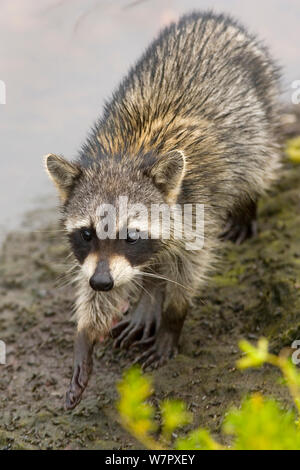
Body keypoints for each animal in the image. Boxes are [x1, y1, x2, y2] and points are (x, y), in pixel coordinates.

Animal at [45, 10, 282, 408]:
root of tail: (210, 17)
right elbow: (103, 288)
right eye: (87, 233)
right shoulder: (100, 259)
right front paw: (87, 333)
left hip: (257, 121)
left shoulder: (196, 210)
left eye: (130, 236)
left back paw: (246, 205)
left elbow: (188, 270)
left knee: (255, 165)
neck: (124, 156)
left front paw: (172, 318)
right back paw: (148, 298)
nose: (103, 282)